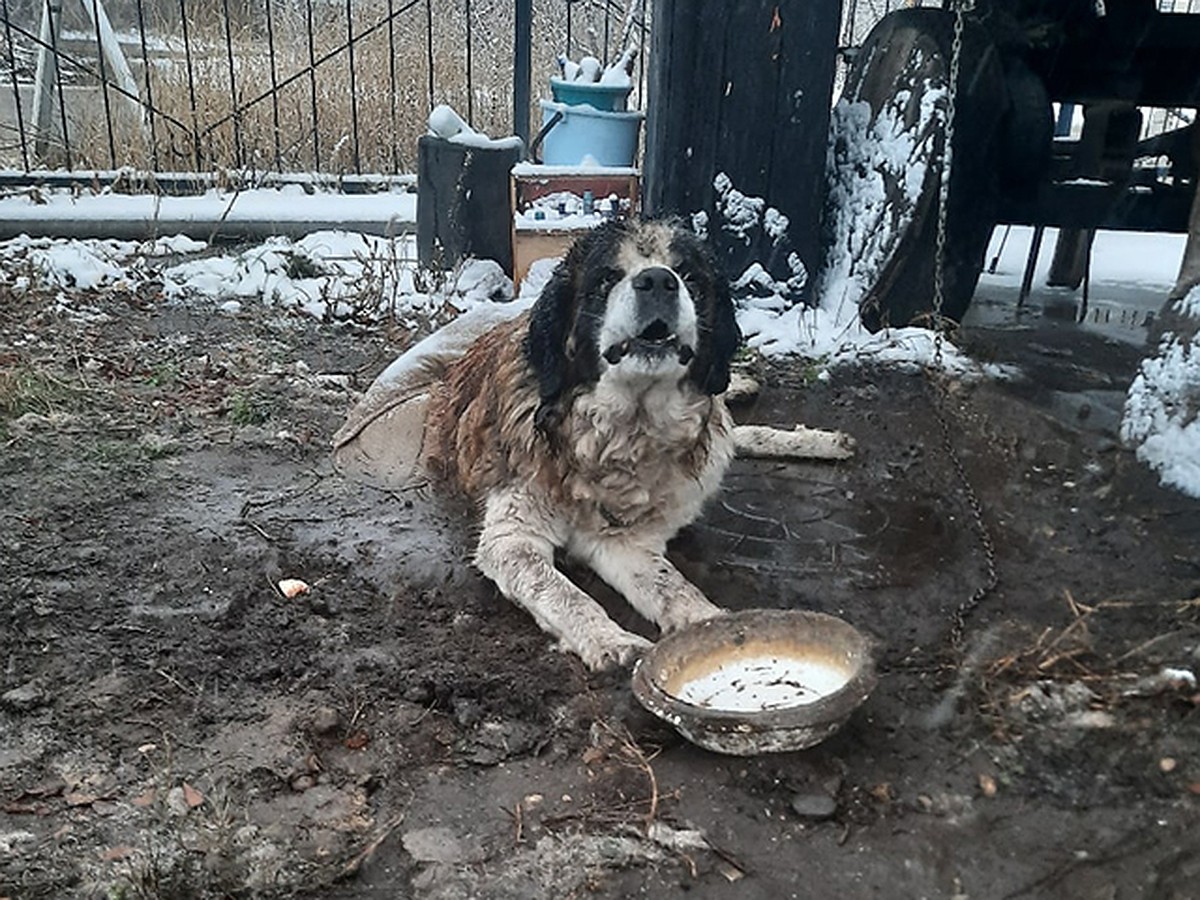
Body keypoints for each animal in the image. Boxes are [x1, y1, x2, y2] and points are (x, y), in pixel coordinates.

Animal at [333, 218, 849, 672]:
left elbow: (674, 588)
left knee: (732, 428)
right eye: (607, 278)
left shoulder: (626, 541)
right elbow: (562, 592)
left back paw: (808, 430)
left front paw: (716, 627)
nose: (658, 281)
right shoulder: (513, 539)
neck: (626, 427)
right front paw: (612, 641)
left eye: (688, 276)